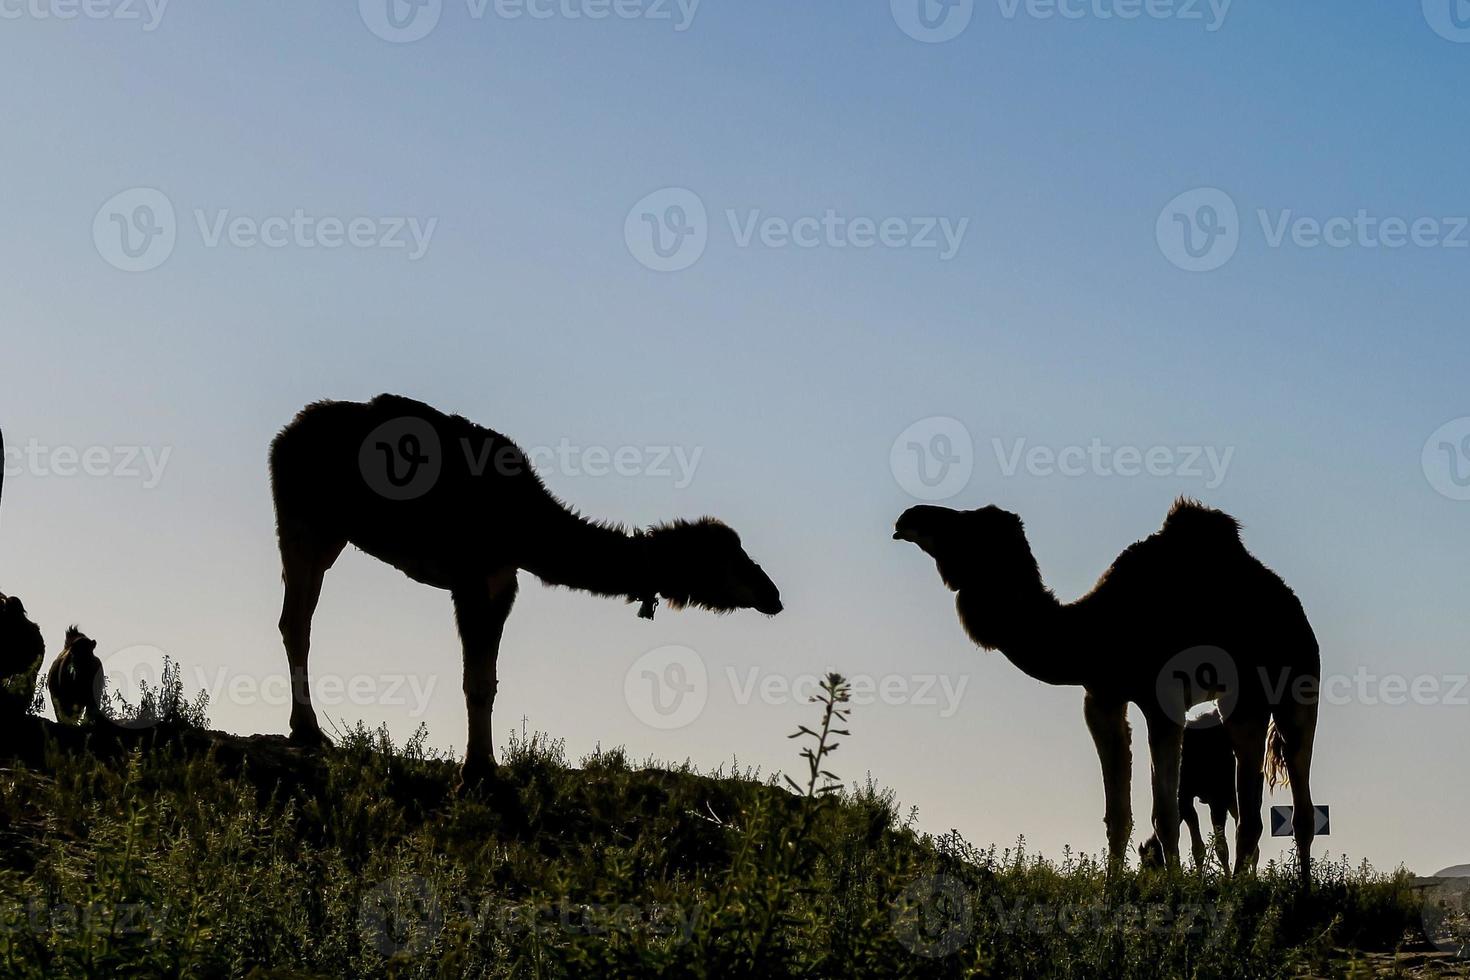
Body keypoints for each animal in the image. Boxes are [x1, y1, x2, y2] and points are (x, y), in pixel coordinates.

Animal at [271, 393, 787, 787]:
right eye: (727, 557)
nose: (772, 595)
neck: (527, 529)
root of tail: (285, 435)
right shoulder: (471, 577)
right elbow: (476, 681)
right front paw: (476, 773)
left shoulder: (503, 582)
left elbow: (489, 679)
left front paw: (486, 767)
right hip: (306, 522)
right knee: (297, 620)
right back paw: (308, 731)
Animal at [893, 499, 1323, 881]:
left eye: (970, 524)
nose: (908, 518)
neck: (1098, 630)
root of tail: (1292, 607)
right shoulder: (1102, 698)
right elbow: (1117, 815)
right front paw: (1111, 892)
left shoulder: (1163, 701)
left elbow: (1164, 815)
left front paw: (1176, 891)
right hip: (1239, 703)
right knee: (1249, 809)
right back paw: (1240, 888)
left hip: (1297, 687)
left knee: (1299, 802)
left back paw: (1296, 892)